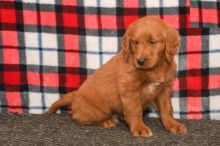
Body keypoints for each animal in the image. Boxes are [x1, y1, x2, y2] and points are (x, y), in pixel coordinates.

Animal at [46, 16, 187, 137]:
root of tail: (76, 95)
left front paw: (173, 125)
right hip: (99, 110)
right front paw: (139, 128)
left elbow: (167, 108)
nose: (140, 61)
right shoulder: (129, 88)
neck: (155, 69)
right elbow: (135, 110)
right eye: (135, 42)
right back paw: (106, 121)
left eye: (152, 42)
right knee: (79, 117)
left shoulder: (164, 89)